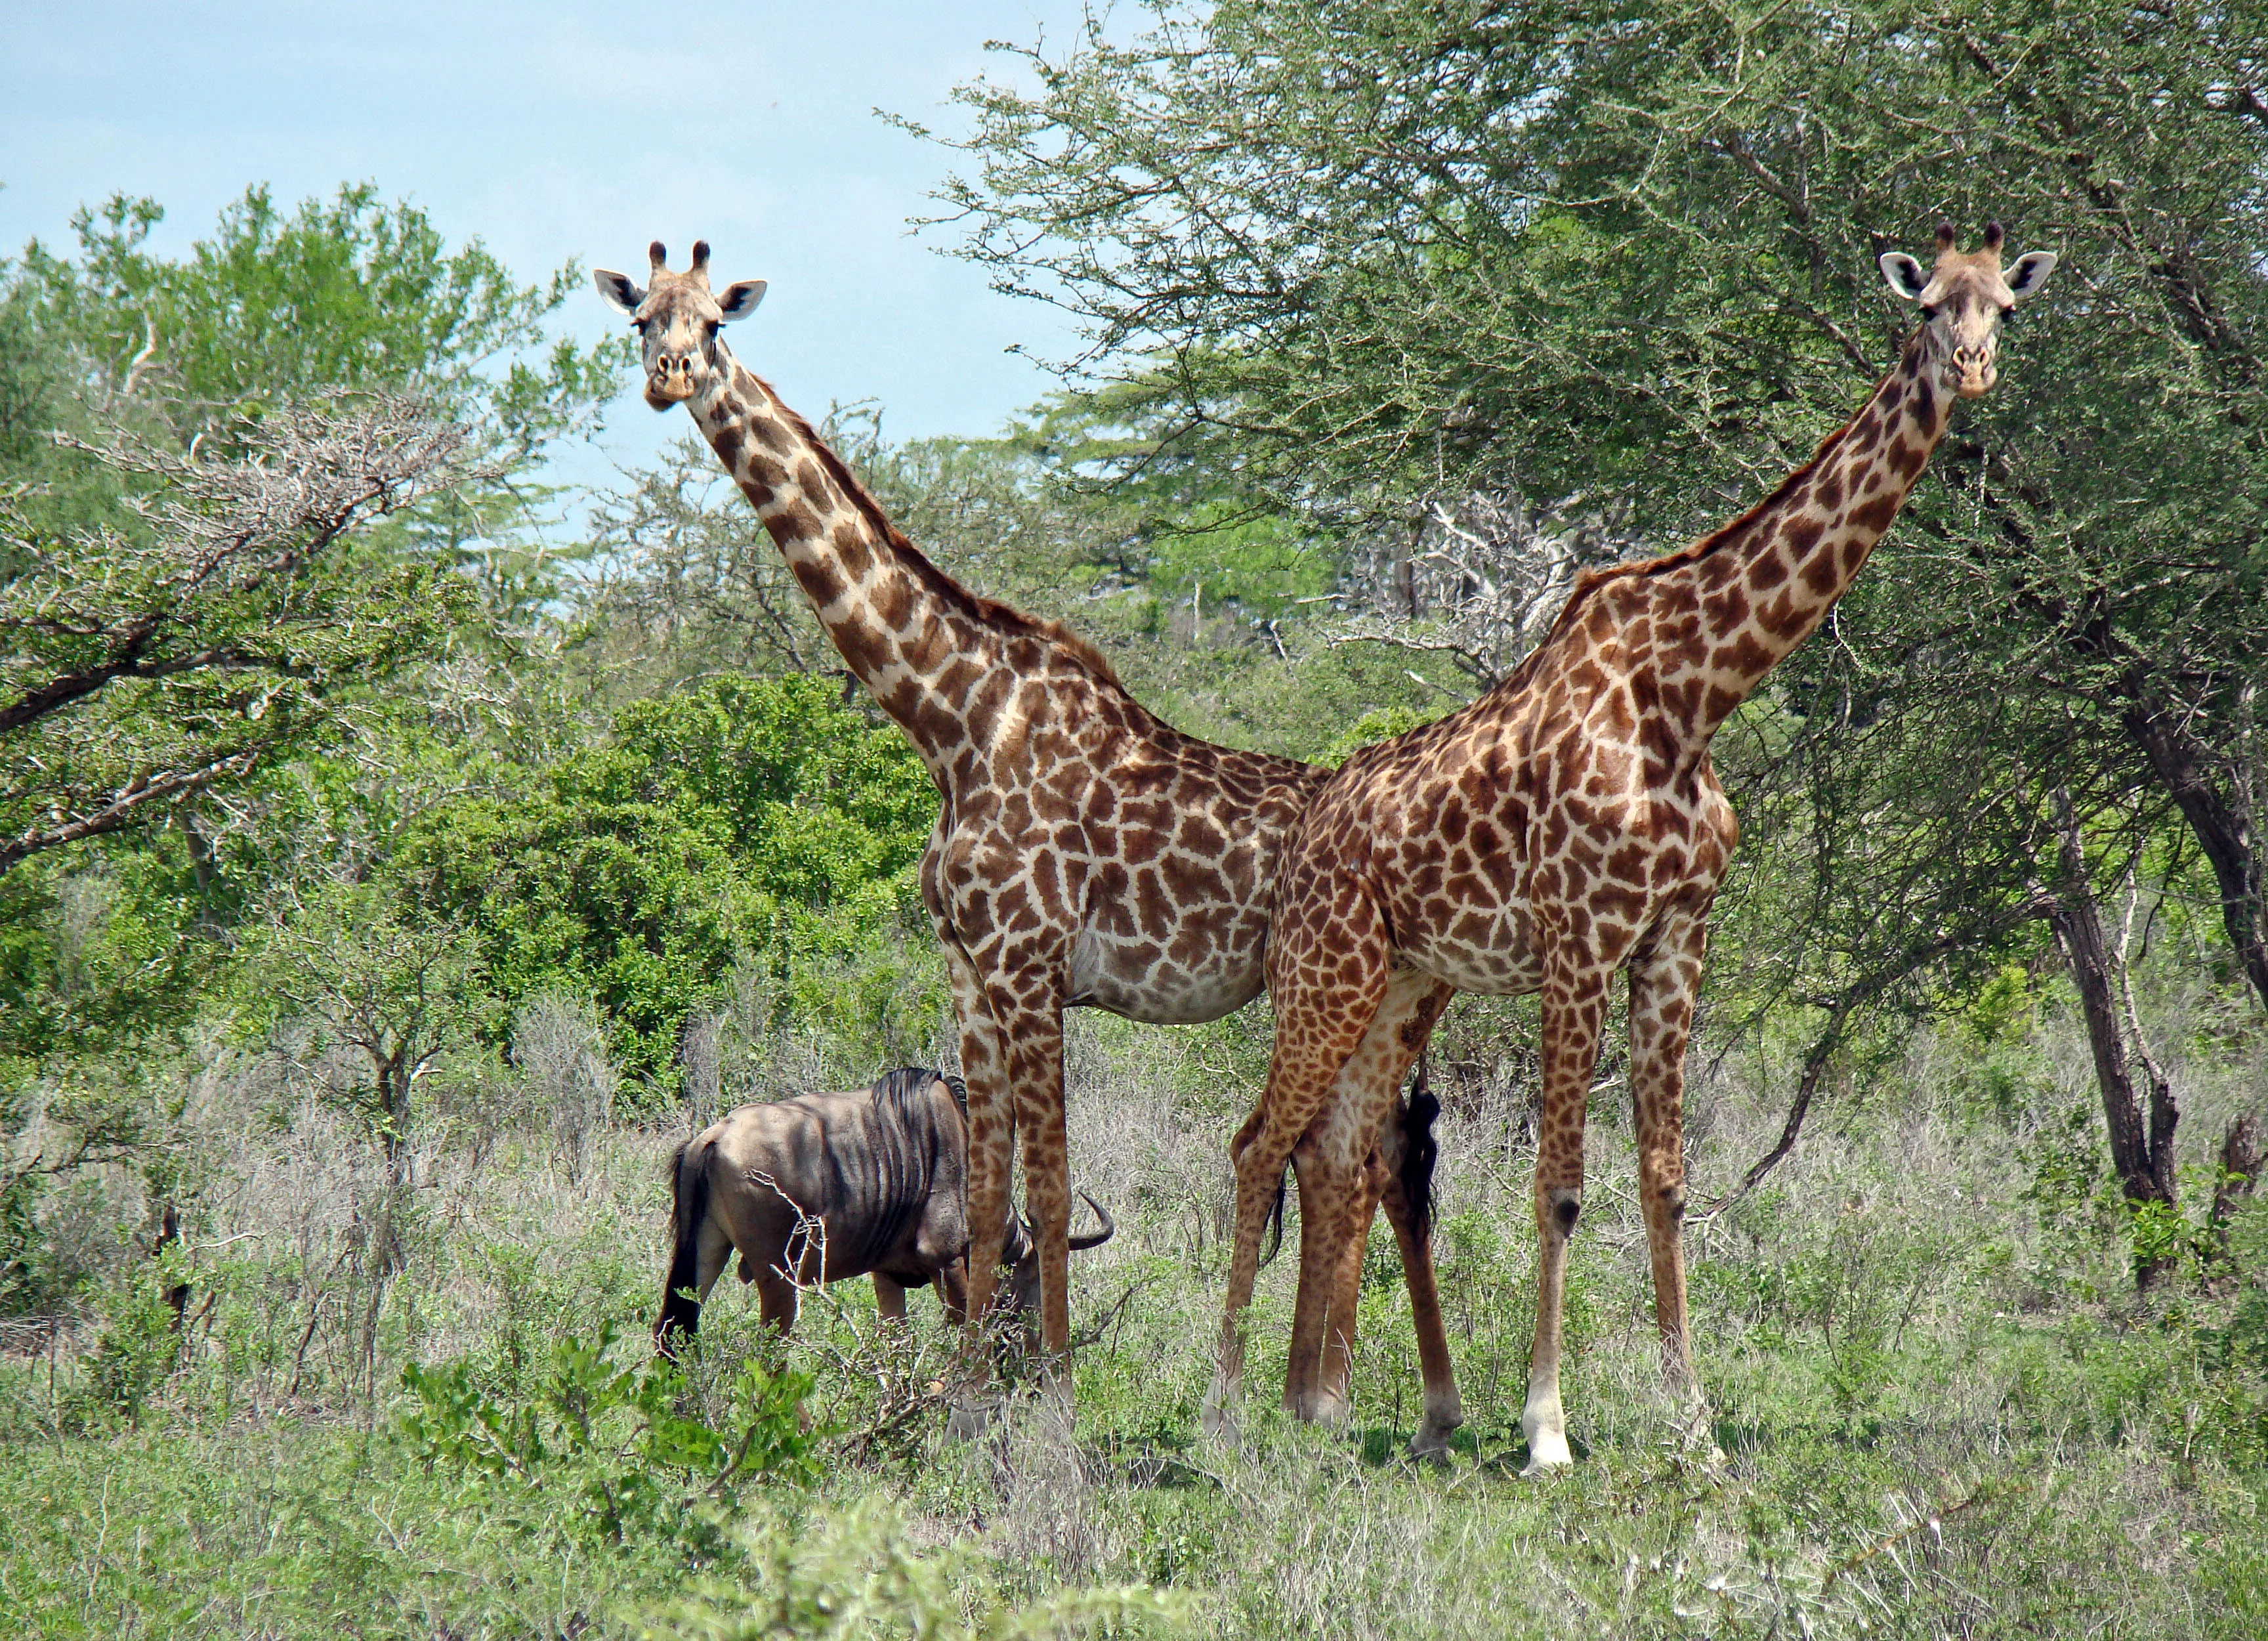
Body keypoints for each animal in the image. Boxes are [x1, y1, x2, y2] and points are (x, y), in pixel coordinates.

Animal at [592, 241, 1463, 1444]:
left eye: (715, 322)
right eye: (642, 320)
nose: (669, 378)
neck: (952, 718)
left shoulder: (1031, 964)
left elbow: (1048, 1190)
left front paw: (1049, 1394)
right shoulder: (966, 969)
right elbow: (987, 1192)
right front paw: (967, 1400)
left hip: (1349, 995)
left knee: (1359, 1158)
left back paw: (1323, 1402)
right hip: (1388, 999)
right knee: (1367, 1158)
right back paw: (1338, 1401)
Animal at [1204, 224, 2057, 1467]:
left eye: (2006, 305)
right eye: (1930, 305)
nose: (1975, 371)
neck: (1692, 693)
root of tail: (1310, 824)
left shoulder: (1674, 938)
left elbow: (1665, 1181)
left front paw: (1694, 1428)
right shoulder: (1578, 942)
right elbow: (1559, 1183)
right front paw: (1547, 1431)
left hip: (1400, 982)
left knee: (1337, 1147)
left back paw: (1319, 1412)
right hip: (1324, 970)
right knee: (1257, 1142)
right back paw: (1225, 1412)